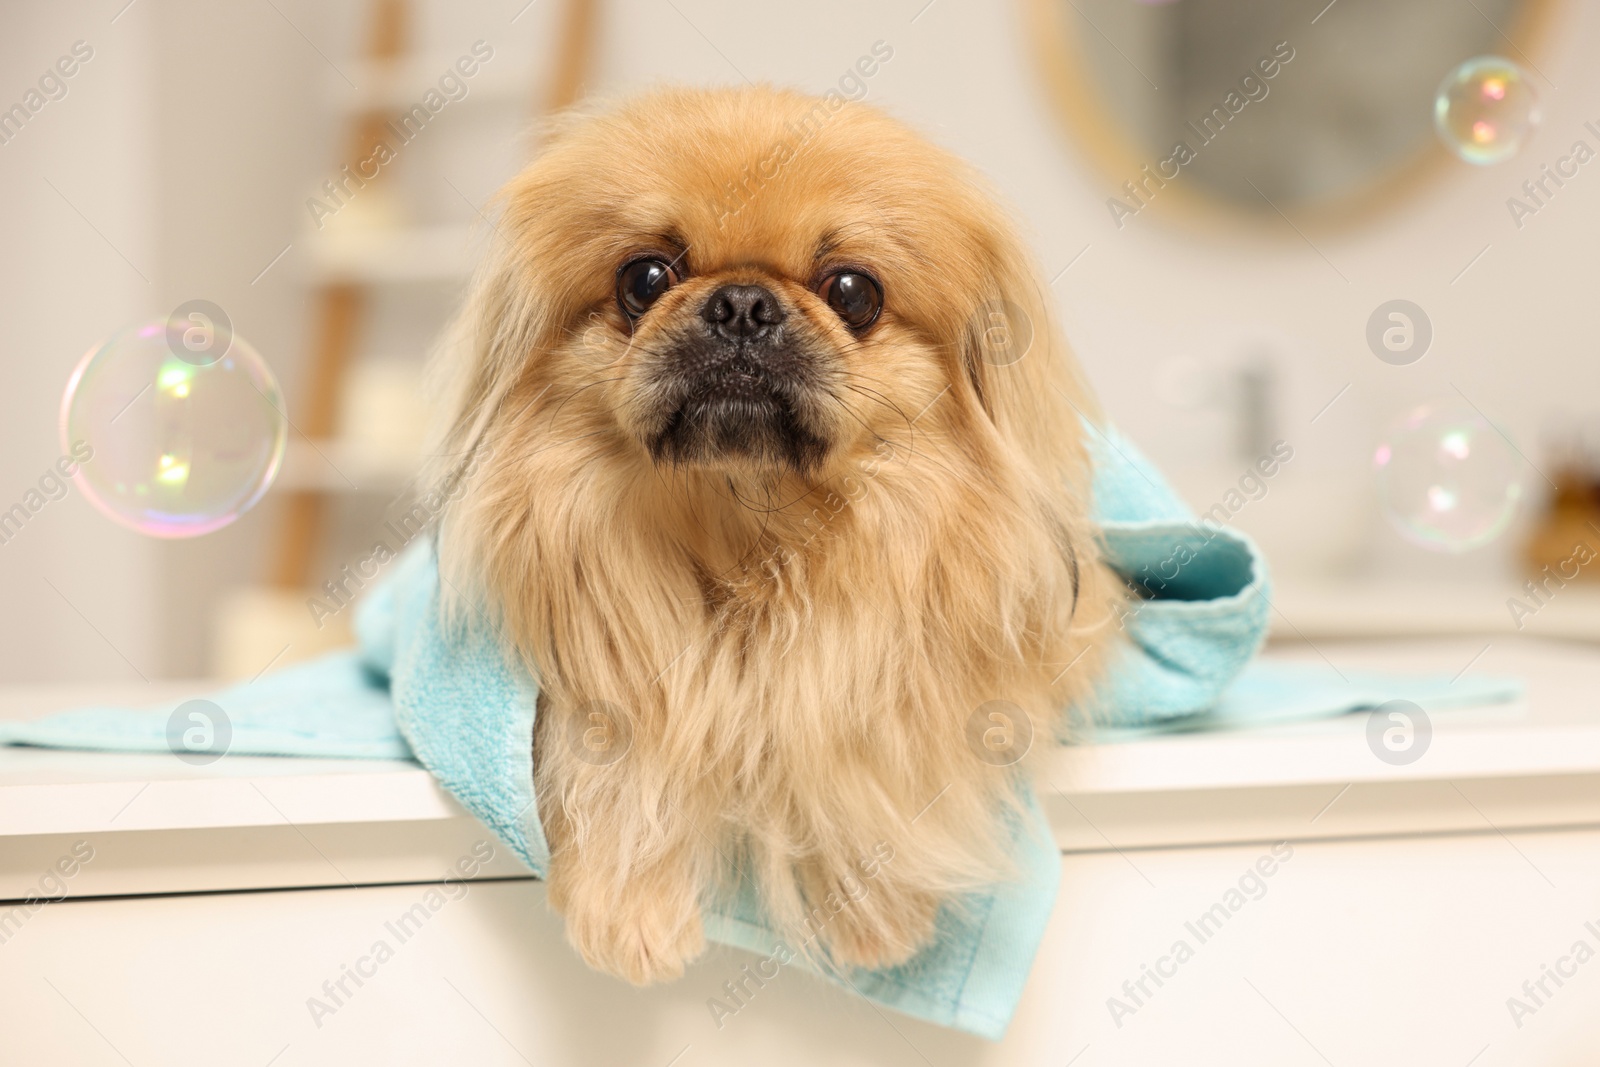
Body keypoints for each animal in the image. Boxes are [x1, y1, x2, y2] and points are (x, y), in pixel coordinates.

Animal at [432, 87, 1120, 991]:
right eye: (645, 277)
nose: (742, 304)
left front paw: (878, 910)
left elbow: (865, 734)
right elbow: (621, 741)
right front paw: (631, 912)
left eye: (853, 290)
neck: (752, 536)